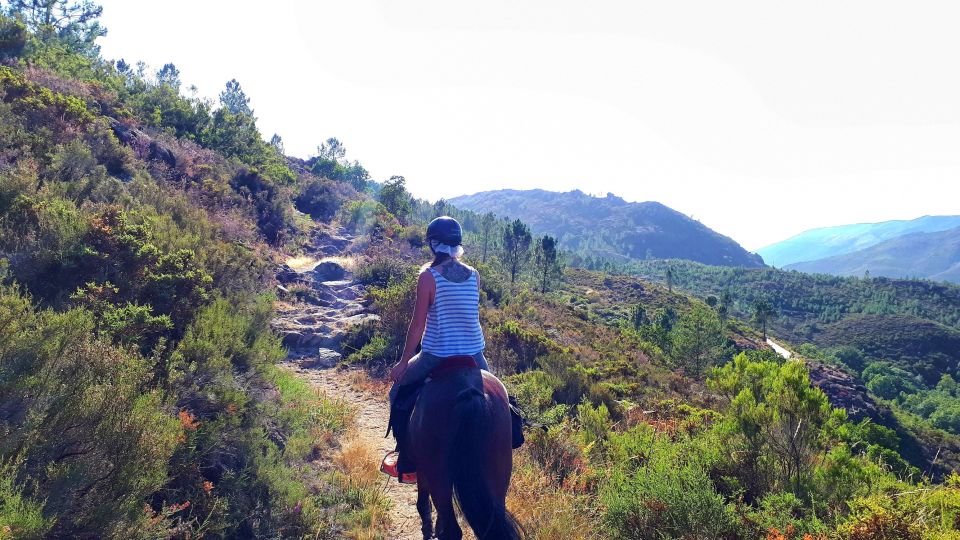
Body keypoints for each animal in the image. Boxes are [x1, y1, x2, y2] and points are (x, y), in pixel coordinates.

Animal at [408, 364, 520, 536]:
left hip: (439, 477)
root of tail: (470, 394)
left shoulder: (421, 468)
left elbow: (423, 503)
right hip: (499, 476)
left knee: (452, 530)